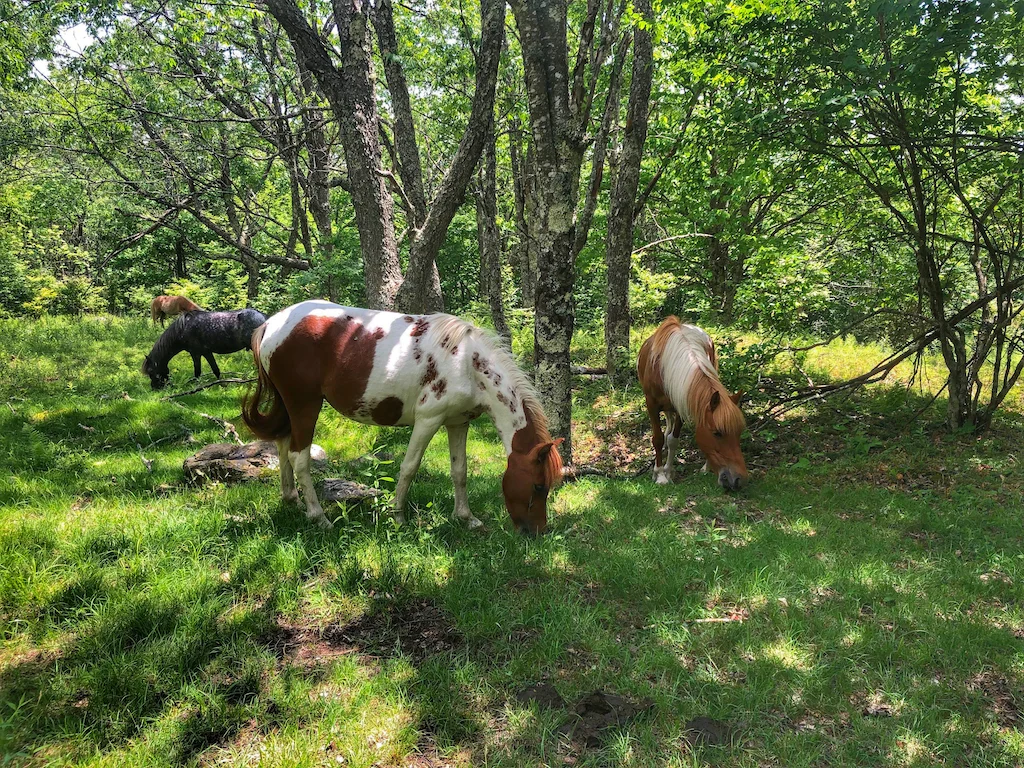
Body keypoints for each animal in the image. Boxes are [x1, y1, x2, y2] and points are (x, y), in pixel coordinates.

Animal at [240, 301, 565, 536]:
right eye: (539, 486)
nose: (537, 532)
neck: (467, 364)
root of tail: (270, 325)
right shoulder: (428, 421)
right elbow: (409, 468)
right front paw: (397, 517)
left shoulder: (458, 422)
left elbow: (459, 471)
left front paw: (466, 517)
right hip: (305, 404)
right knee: (299, 457)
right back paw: (319, 518)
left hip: (290, 406)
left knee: (283, 445)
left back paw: (292, 500)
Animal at [634, 319, 749, 493]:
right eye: (717, 433)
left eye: (739, 432)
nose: (738, 480)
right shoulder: (651, 404)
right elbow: (658, 439)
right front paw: (660, 475)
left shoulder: (682, 403)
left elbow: (673, 440)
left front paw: (668, 472)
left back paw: (705, 467)